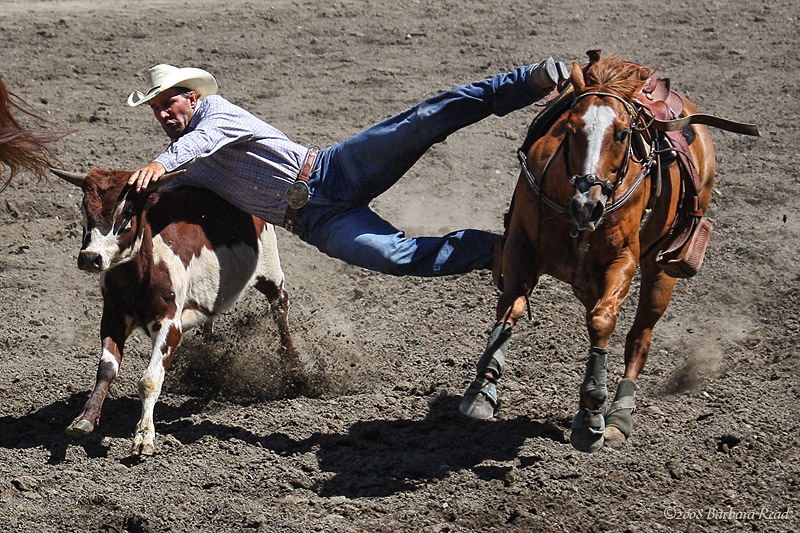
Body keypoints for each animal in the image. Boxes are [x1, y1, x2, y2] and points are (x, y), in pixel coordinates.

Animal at [462, 53, 736, 454]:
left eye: (622, 133)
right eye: (572, 129)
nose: (588, 205)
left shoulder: (623, 261)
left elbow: (603, 322)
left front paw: (591, 414)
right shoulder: (520, 247)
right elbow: (511, 306)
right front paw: (482, 387)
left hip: (662, 269)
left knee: (639, 337)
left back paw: (620, 416)